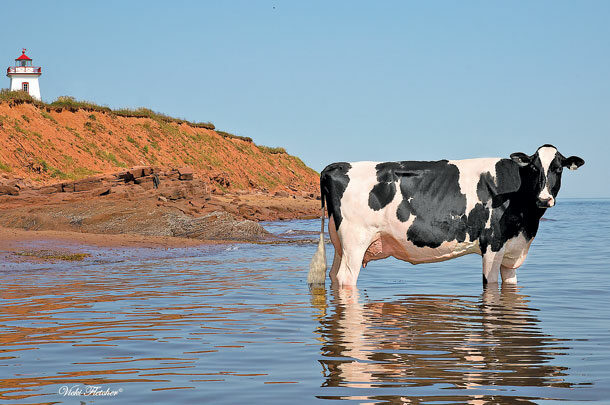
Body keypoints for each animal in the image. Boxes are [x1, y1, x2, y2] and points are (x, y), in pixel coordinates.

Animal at [308, 144, 584, 286]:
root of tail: (336, 166)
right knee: (346, 278)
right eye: (535, 168)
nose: (544, 198)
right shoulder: (492, 244)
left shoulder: (513, 250)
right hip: (356, 240)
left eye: (558, 169)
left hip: (341, 243)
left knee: (333, 275)